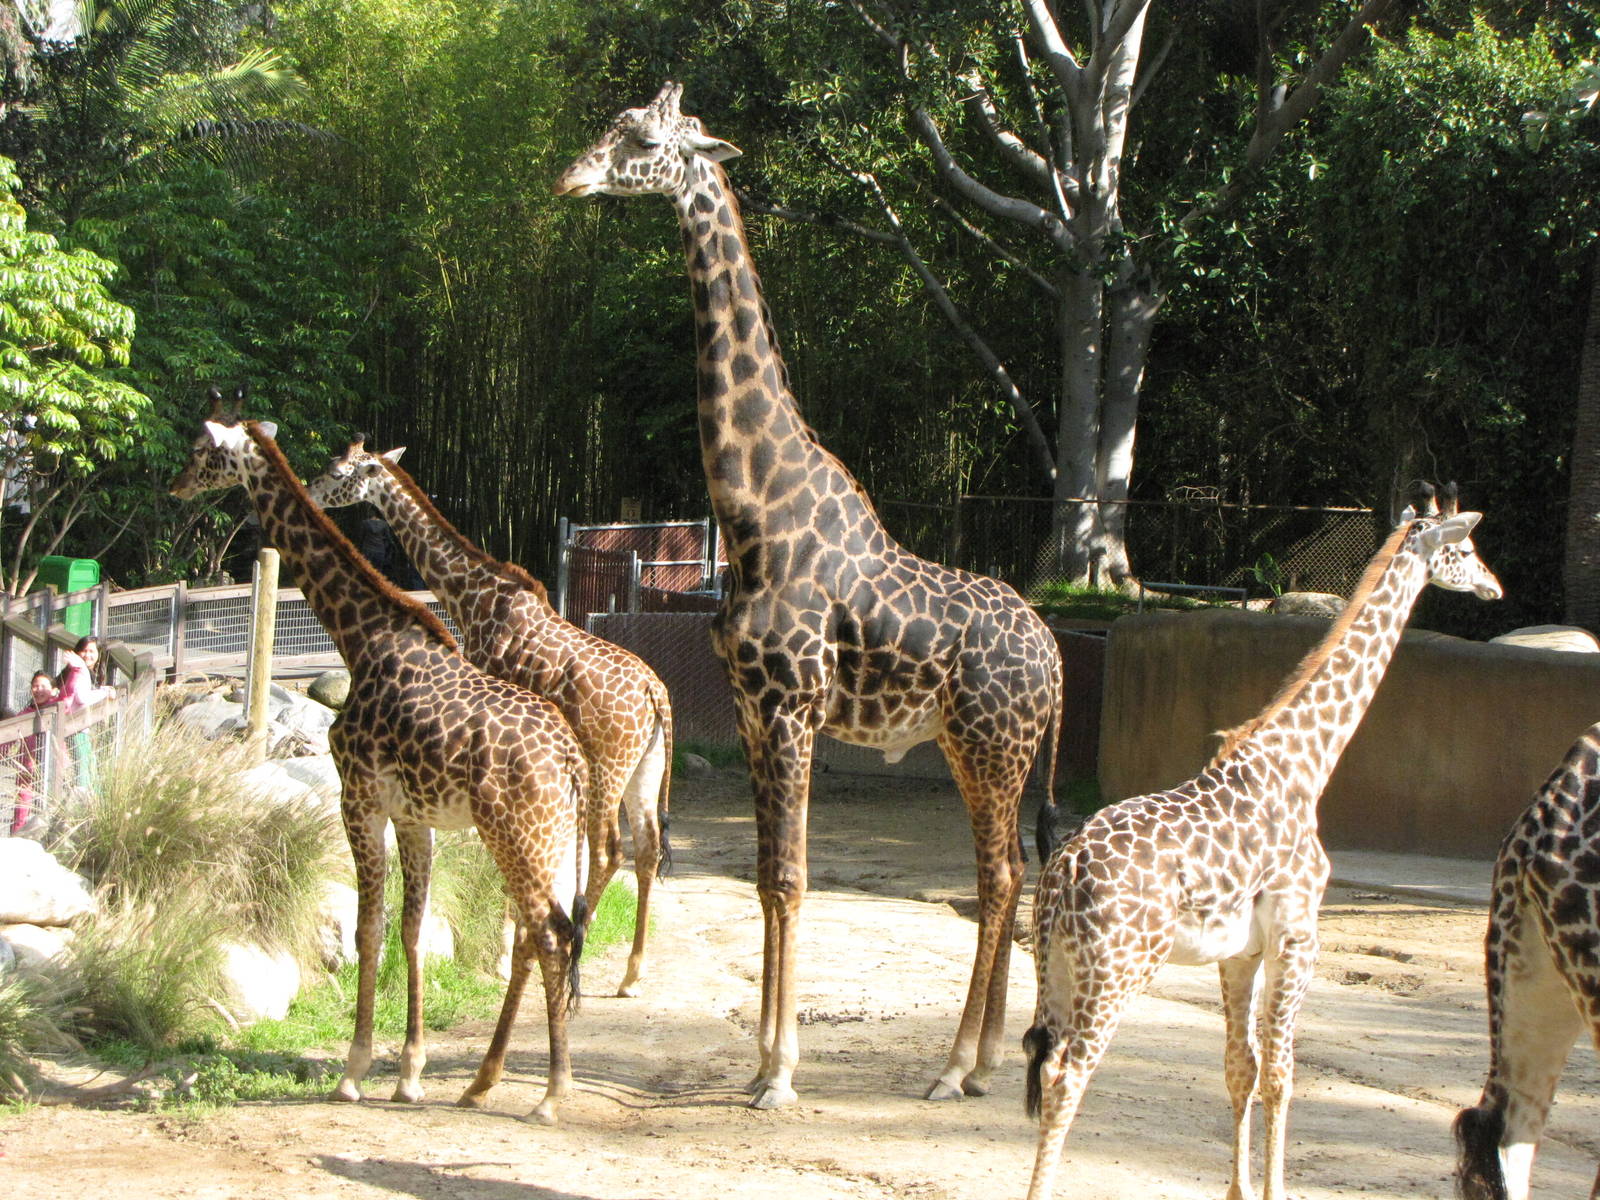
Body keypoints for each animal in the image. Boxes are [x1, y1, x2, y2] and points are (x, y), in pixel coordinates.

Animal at [170, 390, 591, 1125]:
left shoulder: (358, 798)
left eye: (202, 451)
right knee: (546, 935)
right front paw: (411, 1074)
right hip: (554, 838)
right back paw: (492, 1083)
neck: (359, 637)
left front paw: (354, 1070)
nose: (176, 487)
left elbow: (369, 931)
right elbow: (412, 932)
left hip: (514, 834)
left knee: (548, 935)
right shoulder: (415, 816)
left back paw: (548, 1093)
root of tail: (570, 760)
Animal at [306, 437, 674, 996]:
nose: (310, 491)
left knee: (610, 850)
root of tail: (657, 695)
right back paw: (631, 973)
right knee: (647, 849)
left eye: (337, 471)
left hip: (608, 767)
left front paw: (503, 957)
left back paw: (580, 945)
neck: (469, 594)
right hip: (644, 768)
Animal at [555, 83, 1064, 1109]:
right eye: (614, 125)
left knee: (998, 878)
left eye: (641, 137)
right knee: (1008, 872)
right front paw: (760, 1056)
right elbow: (763, 878)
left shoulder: (792, 706)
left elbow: (793, 880)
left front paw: (782, 1074)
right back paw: (986, 1059)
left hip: (994, 747)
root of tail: (1061, 656)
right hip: (976, 748)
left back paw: (954, 1066)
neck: (753, 509)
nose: (571, 177)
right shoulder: (753, 711)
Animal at [1022, 483, 1502, 1200]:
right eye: (1466, 548)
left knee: (1040, 1057)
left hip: (1053, 965)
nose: (1495, 587)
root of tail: (1063, 872)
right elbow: (1281, 1072)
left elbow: (1238, 1067)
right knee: (1066, 1074)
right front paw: (1274, 1189)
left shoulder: (1240, 951)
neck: (1304, 763)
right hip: (1117, 970)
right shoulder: (1298, 935)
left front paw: (1239, 1189)